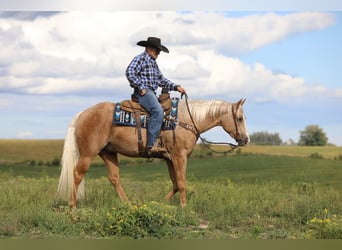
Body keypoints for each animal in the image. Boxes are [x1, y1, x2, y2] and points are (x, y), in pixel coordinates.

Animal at [55, 96, 248, 208]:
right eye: (239, 118)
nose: (246, 140)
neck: (185, 119)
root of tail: (82, 114)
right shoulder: (179, 156)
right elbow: (182, 183)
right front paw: (185, 208)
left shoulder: (169, 158)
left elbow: (175, 183)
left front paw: (160, 203)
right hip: (88, 154)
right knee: (77, 174)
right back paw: (73, 207)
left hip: (108, 152)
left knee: (114, 179)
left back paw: (129, 205)